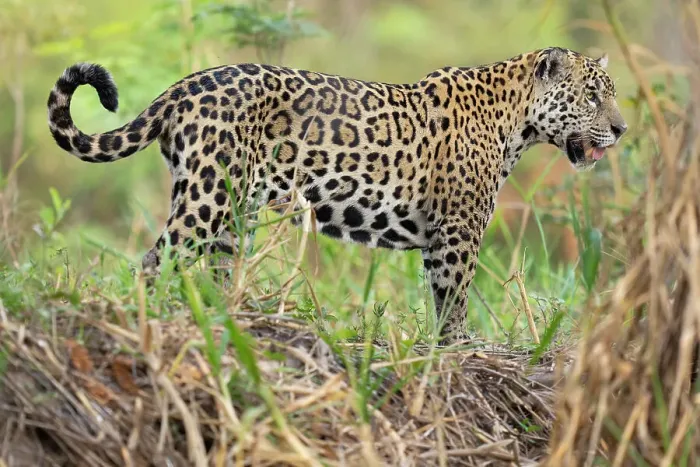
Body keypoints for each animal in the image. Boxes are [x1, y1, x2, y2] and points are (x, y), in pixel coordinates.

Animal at [47, 46, 627, 344]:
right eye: (591, 96)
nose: (622, 130)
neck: (518, 121)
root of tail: (183, 85)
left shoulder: (440, 238)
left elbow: (441, 297)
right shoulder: (457, 232)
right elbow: (456, 297)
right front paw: (460, 350)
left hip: (233, 211)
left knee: (214, 269)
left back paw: (228, 318)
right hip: (208, 196)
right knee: (153, 261)